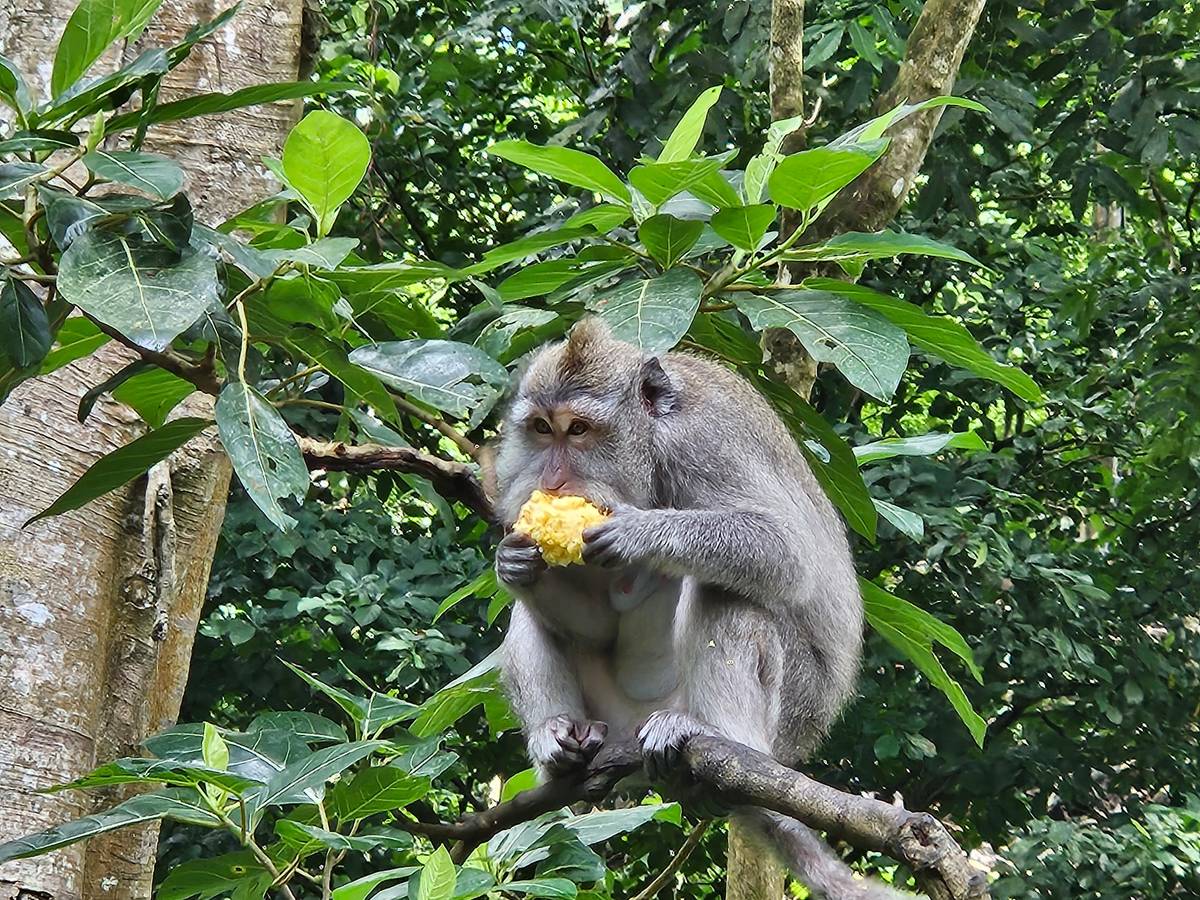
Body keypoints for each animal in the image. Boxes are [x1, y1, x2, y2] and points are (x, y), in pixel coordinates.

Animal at [492, 318, 897, 900]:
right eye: (543, 429)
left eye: (579, 430)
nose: (550, 481)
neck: (651, 448)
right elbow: (594, 628)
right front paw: (514, 561)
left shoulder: (701, 443)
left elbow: (786, 551)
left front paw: (639, 533)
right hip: (617, 720)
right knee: (532, 617)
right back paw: (560, 743)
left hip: (789, 712)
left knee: (729, 596)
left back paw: (717, 739)